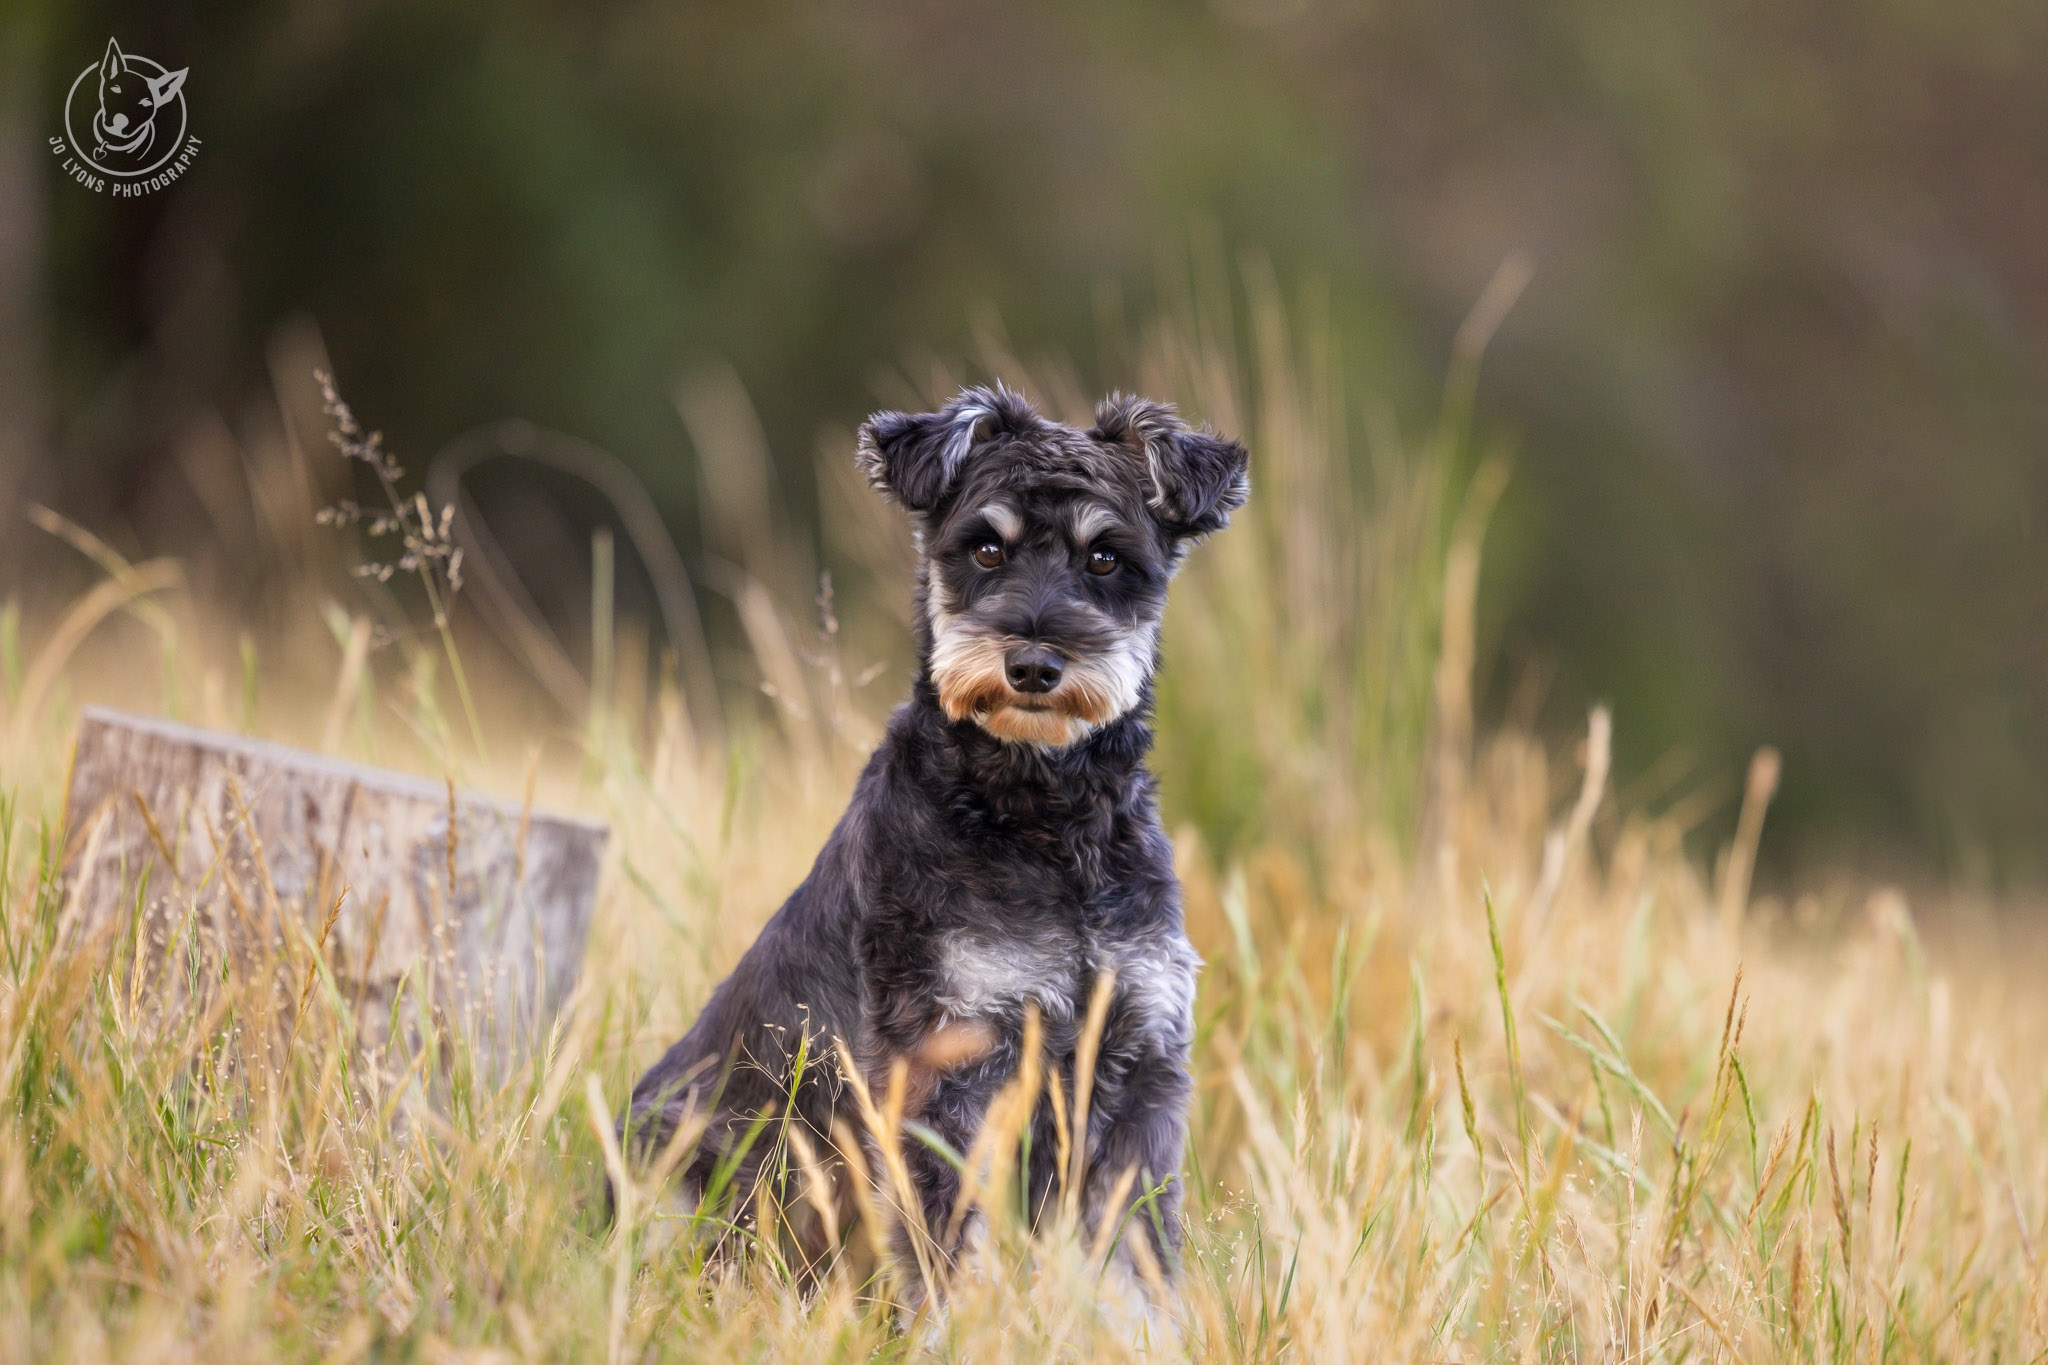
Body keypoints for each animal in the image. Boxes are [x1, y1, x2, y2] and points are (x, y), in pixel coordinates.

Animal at [626, 382, 1245, 1301]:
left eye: (1105, 558)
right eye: (984, 547)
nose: (1032, 665)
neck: (1042, 816)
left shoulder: (1138, 1065)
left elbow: (1135, 1262)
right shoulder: (948, 1062)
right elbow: (940, 1249)